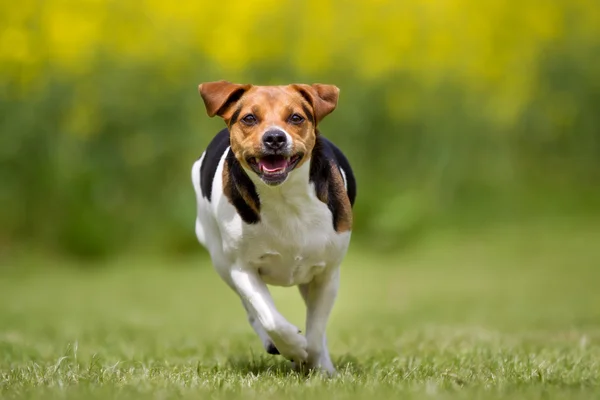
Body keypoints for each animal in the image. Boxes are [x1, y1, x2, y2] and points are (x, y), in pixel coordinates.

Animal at [190, 80, 354, 376]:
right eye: (249, 118)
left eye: (296, 118)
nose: (275, 138)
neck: (283, 196)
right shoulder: (242, 269)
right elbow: (270, 318)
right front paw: (294, 347)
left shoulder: (327, 273)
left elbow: (316, 332)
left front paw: (316, 362)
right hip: (220, 259)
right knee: (251, 311)